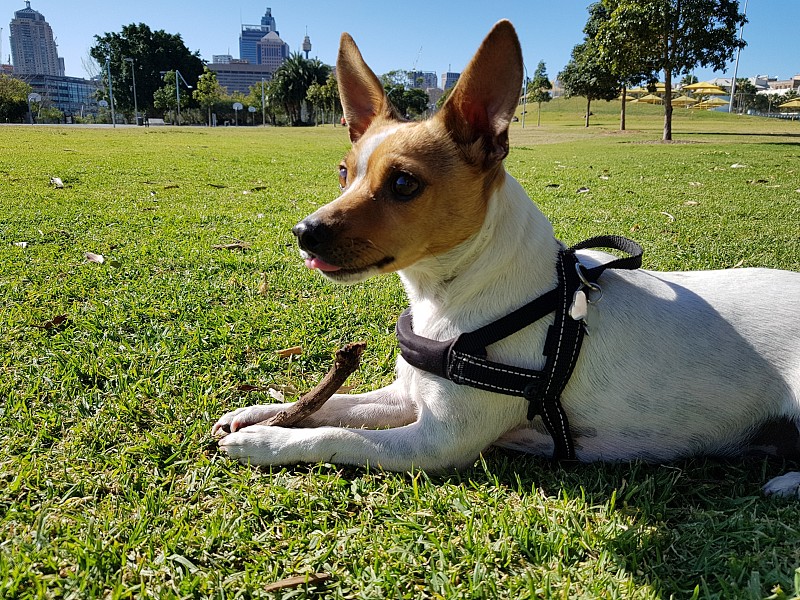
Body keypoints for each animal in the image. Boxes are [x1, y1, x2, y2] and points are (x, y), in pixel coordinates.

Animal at [212, 19, 800, 496]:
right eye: (343, 172)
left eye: (403, 184)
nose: (303, 233)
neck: (450, 295)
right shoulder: (408, 398)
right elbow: (336, 404)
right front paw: (257, 414)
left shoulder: (436, 441)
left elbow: (338, 435)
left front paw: (264, 443)